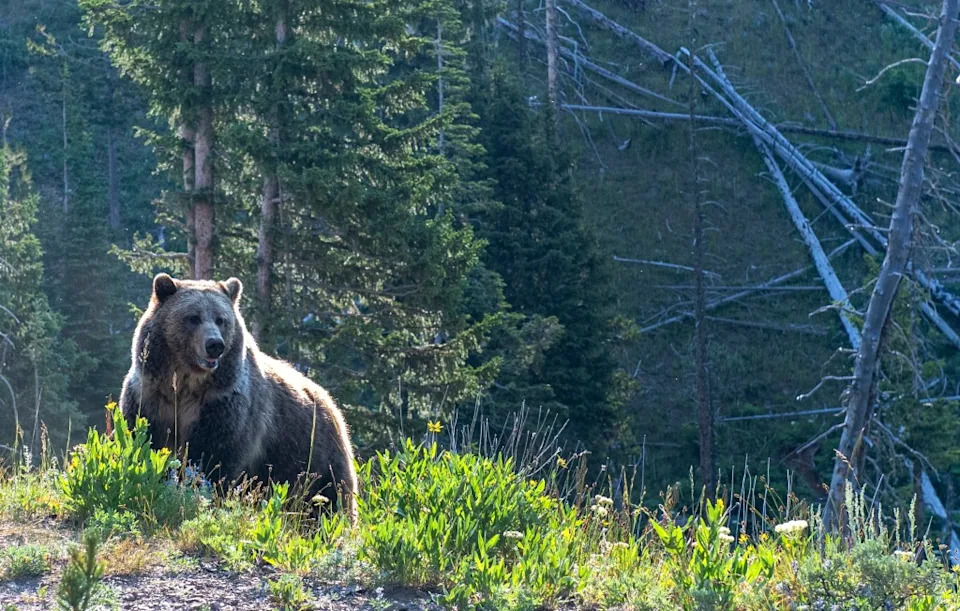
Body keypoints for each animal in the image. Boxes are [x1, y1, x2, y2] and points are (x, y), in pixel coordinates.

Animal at [119, 273, 358, 517]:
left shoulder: (223, 406)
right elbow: (147, 444)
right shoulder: (151, 399)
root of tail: (332, 405)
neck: (185, 383)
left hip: (313, 455)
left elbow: (212, 459)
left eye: (220, 319)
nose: (215, 344)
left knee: (329, 498)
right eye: (193, 317)